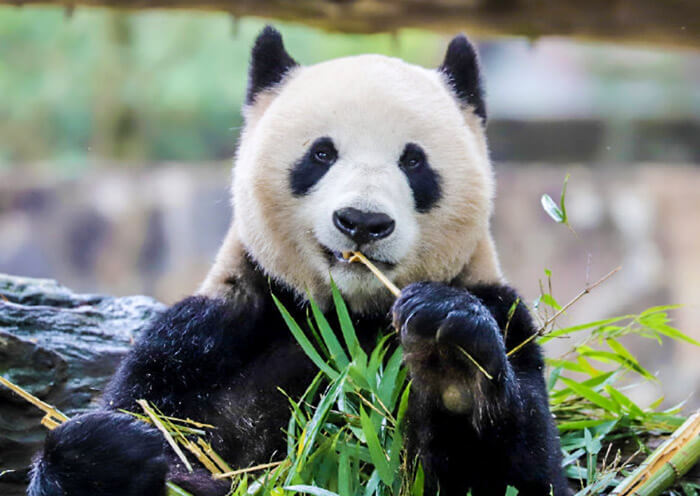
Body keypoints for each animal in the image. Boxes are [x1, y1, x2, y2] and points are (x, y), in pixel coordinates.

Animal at [28, 26, 569, 496]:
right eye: (322, 154)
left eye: (414, 161)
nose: (363, 222)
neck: (347, 317)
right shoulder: (202, 340)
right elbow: (154, 418)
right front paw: (103, 453)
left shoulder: (503, 315)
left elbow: (523, 476)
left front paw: (452, 360)